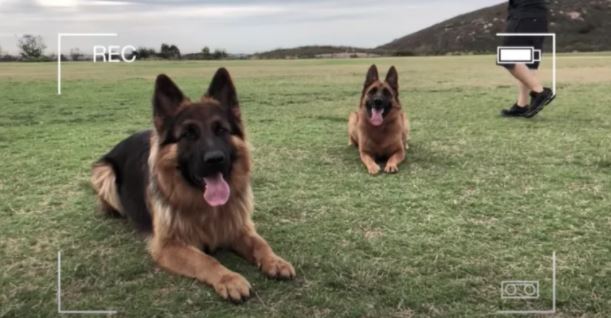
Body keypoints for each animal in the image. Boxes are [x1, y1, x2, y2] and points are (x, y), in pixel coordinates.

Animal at [90, 68, 296, 302]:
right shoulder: (168, 246)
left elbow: (260, 243)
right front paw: (229, 279)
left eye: (221, 130)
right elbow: (206, 260)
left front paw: (275, 260)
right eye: (189, 134)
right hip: (105, 174)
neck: (205, 208)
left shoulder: (238, 227)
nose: (215, 159)